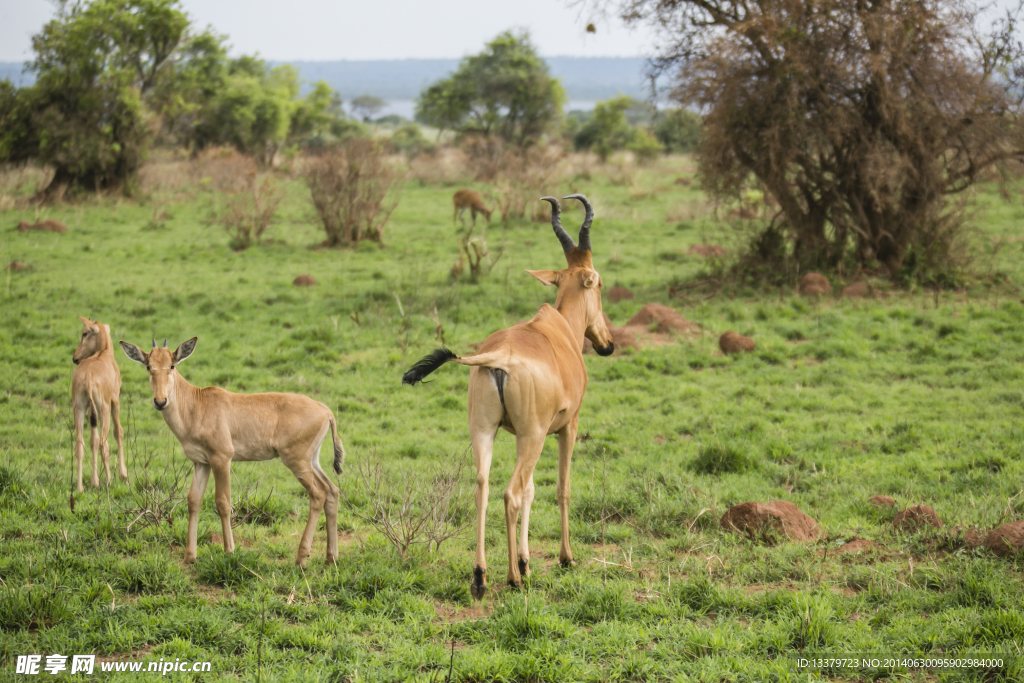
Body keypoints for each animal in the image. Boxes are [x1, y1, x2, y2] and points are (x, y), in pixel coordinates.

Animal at [71, 317, 126, 493]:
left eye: (84, 333)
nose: (75, 358)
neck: (104, 354)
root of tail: (88, 377)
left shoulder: (90, 409)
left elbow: (92, 441)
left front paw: (94, 481)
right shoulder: (115, 400)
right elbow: (118, 432)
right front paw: (124, 474)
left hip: (79, 408)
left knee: (80, 444)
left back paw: (80, 488)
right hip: (104, 409)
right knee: (104, 442)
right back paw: (109, 482)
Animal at [118, 335, 346, 565]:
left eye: (172, 365)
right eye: (148, 366)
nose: (160, 401)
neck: (197, 403)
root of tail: (326, 411)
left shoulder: (221, 459)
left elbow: (223, 502)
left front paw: (229, 551)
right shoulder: (201, 462)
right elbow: (193, 501)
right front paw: (190, 556)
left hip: (296, 461)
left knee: (318, 493)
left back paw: (301, 558)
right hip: (312, 460)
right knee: (332, 490)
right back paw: (331, 557)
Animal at [401, 193, 610, 598]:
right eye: (600, 284)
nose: (607, 343)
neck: (556, 330)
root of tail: (498, 357)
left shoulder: (518, 434)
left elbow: (531, 490)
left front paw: (527, 562)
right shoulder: (565, 428)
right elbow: (559, 488)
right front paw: (563, 558)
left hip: (484, 431)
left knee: (482, 487)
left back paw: (480, 576)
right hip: (532, 437)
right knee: (510, 494)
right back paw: (512, 578)